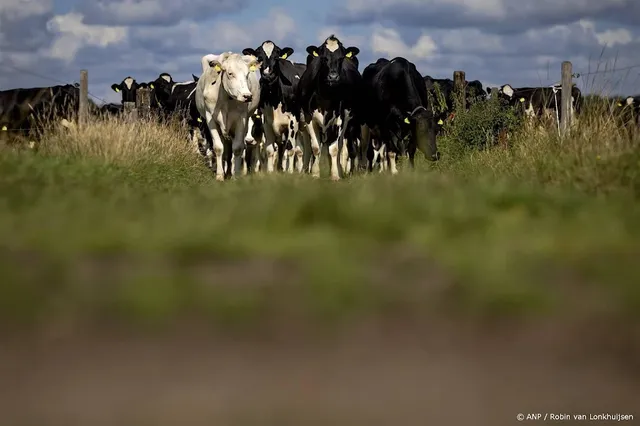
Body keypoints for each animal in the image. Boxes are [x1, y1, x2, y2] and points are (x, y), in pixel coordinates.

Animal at [198, 52, 262, 181]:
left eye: (247, 74)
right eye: (230, 73)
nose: (247, 96)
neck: (227, 99)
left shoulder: (241, 119)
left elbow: (237, 148)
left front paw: (235, 175)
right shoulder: (210, 119)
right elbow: (218, 148)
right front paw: (219, 175)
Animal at [242, 40, 308, 173]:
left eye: (277, 57)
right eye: (259, 58)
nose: (268, 75)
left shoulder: (293, 121)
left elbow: (290, 149)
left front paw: (289, 173)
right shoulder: (266, 122)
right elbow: (270, 150)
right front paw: (271, 173)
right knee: (298, 150)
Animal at [296, 34, 362, 179]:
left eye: (341, 58)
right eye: (323, 58)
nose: (333, 77)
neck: (326, 97)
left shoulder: (339, 120)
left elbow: (334, 149)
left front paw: (335, 175)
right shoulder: (309, 118)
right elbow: (315, 148)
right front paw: (315, 174)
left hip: (349, 123)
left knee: (342, 146)